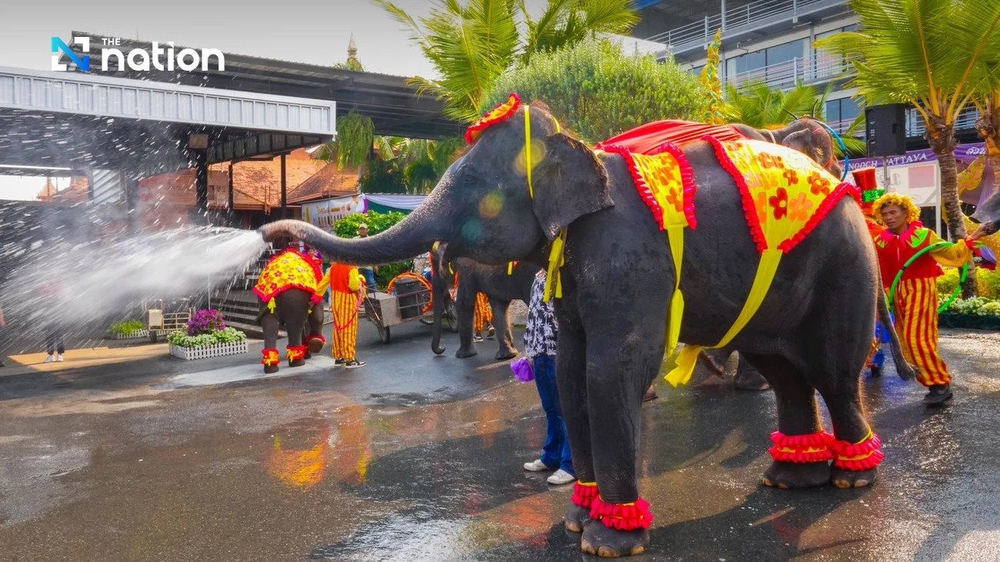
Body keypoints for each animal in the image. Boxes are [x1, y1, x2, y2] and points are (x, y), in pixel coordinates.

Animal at [258, 100, 960, 556]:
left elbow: (610, 369)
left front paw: (607, 540)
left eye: (476, 189)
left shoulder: (627, 254)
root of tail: (850, 186)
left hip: (846, 260)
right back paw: (791, 476)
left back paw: (852, 477)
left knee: (834, 371)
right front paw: (576, 522)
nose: (268, 233)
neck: (582, 149)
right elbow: (571, 373)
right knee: (783, 369)